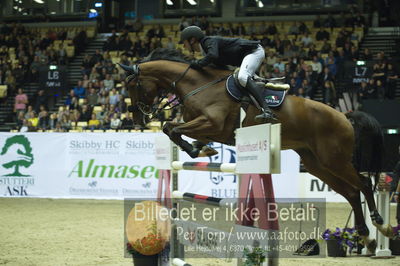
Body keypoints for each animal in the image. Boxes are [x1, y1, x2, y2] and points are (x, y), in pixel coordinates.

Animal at [119, 47, 394, 251]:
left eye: (133, 86)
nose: (137, 119)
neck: (196, 84)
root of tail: (344, 115)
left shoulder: (212, 123)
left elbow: (171, 128)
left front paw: (199, 151)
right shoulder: (208, 128)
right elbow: (174, 130)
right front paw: (202, 150)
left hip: (333, 159)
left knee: (363, 183)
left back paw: (381, 225)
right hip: (317, 163)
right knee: (351, 192)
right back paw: (367, 236)